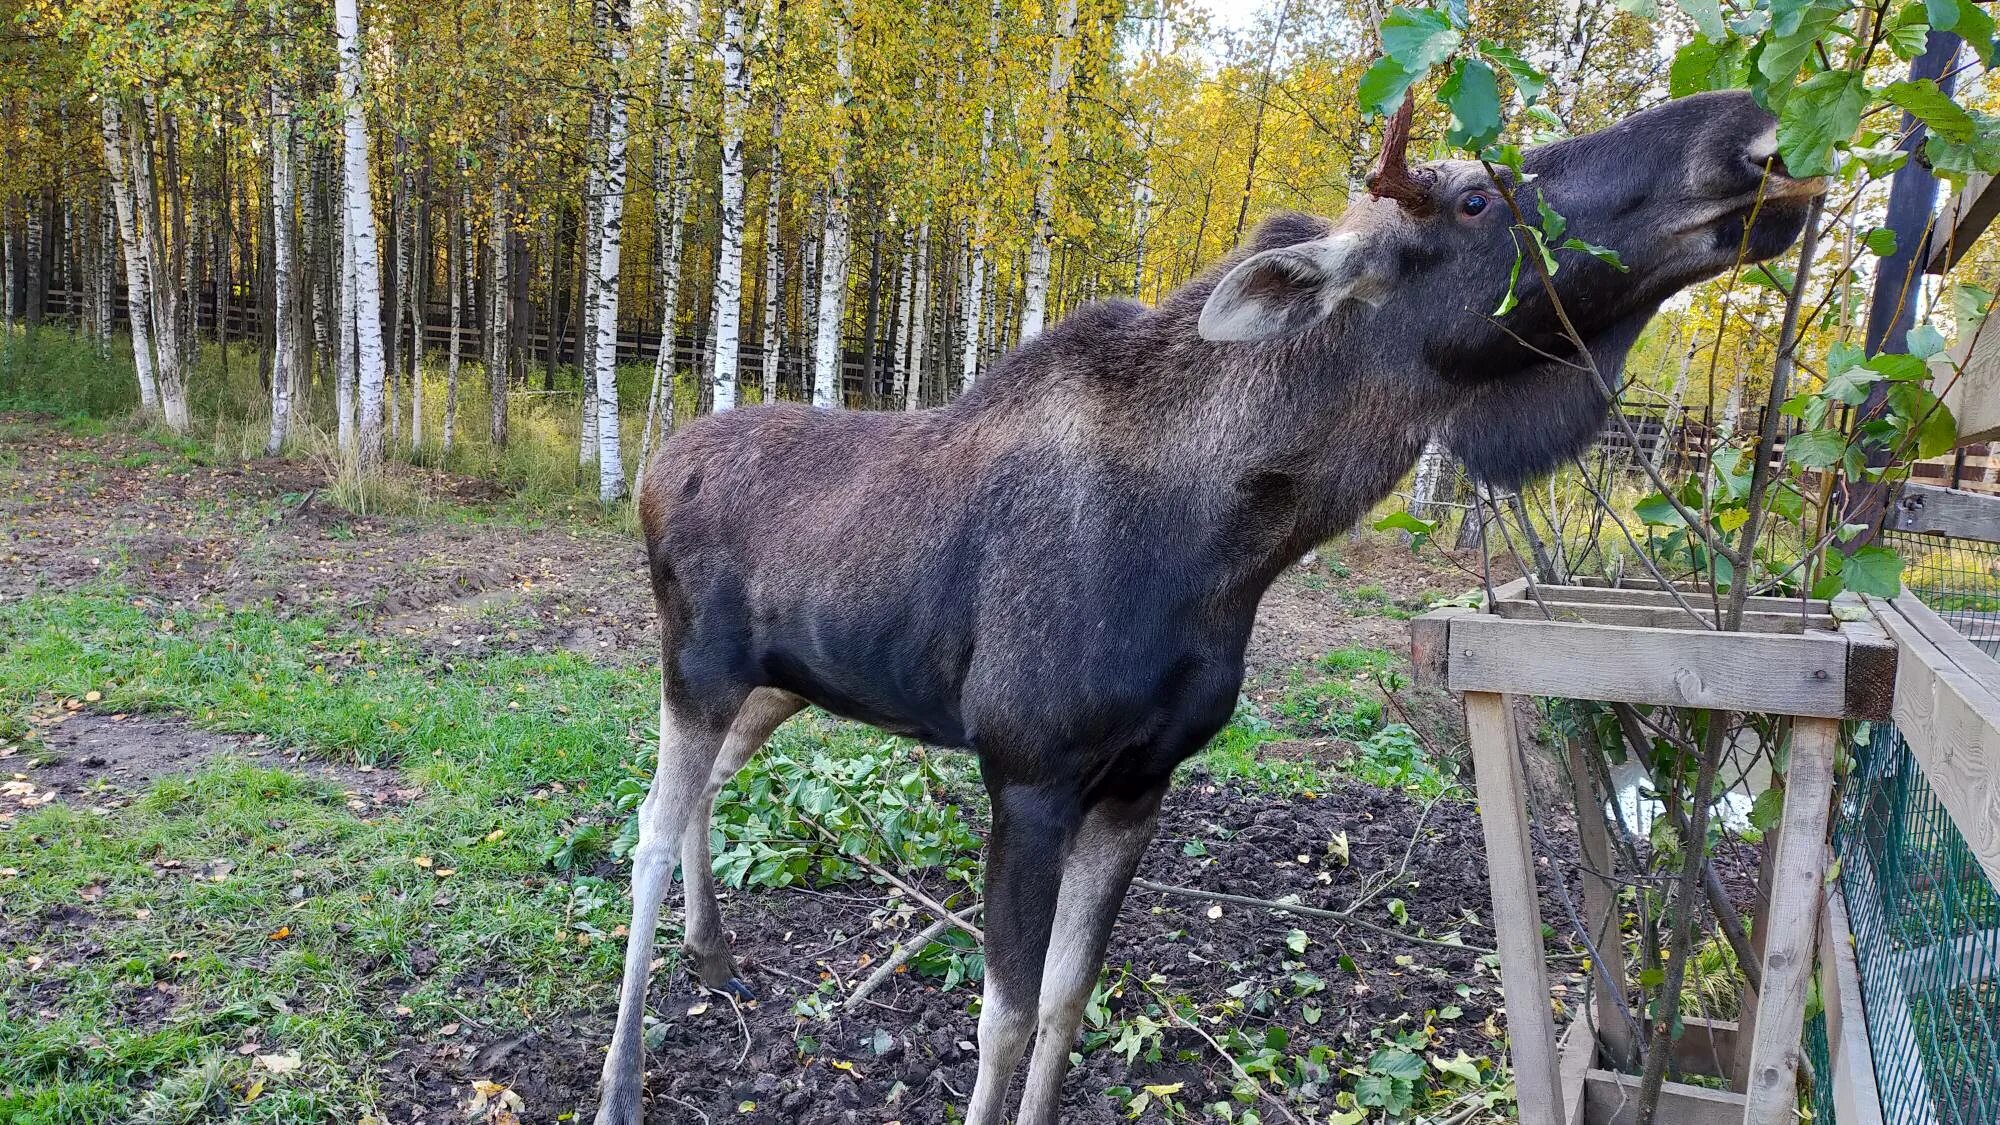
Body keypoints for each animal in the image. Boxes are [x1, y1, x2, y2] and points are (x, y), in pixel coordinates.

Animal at [584, 89, 1824, 1120]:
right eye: (1475, 199)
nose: (1745, 132)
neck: (1231, 550)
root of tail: (651, 467)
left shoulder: (1141, 783)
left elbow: (1067, 1007)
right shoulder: (1027, 773)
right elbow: (1005, 1017)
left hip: (782, 684)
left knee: (701, 799)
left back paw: (710, 953)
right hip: (692, 668)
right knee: (642, 829)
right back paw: (621, 1081)